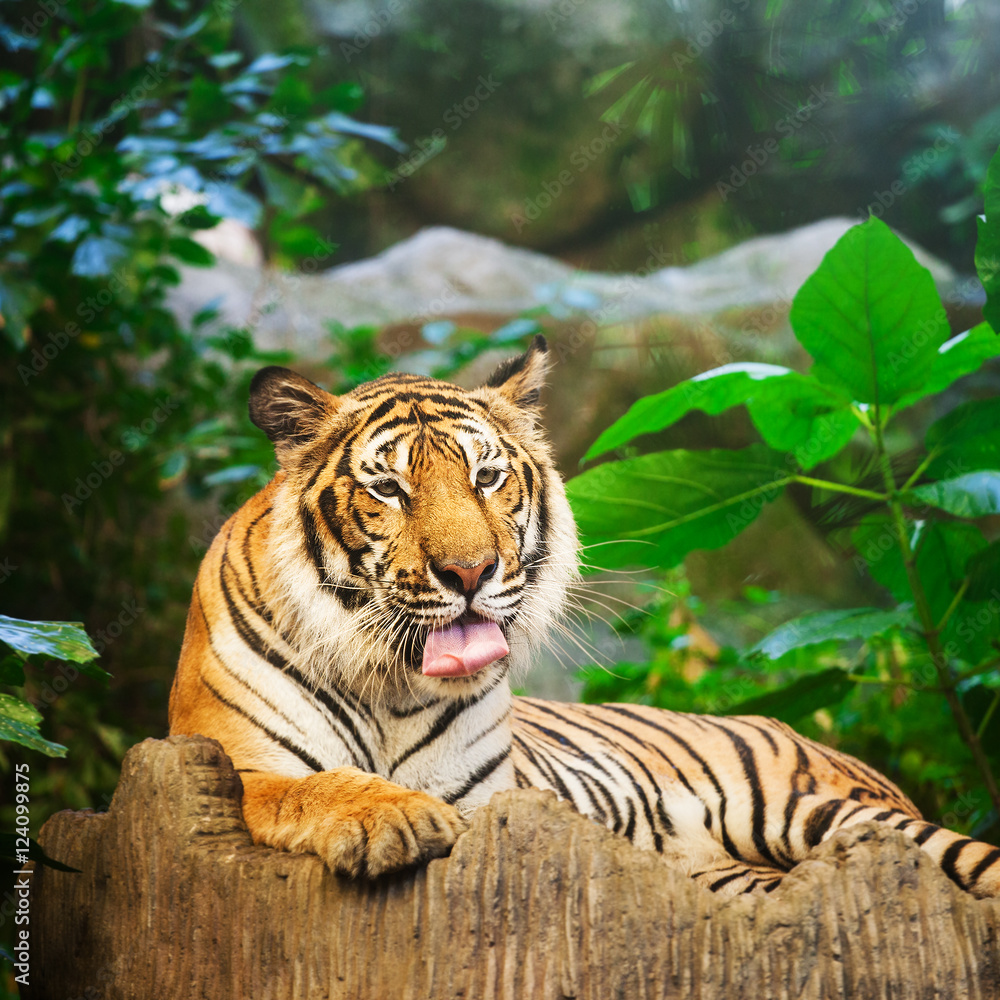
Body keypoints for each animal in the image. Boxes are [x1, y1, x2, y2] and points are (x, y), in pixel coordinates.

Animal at [168, 335, 1000, 898]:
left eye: (486, 477)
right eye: (389, 490)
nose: (469, 573)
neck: (392, 688)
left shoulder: (491, 800)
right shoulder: (229, 759)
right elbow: (307, 786)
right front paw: (394, 819)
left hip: (808, 807)